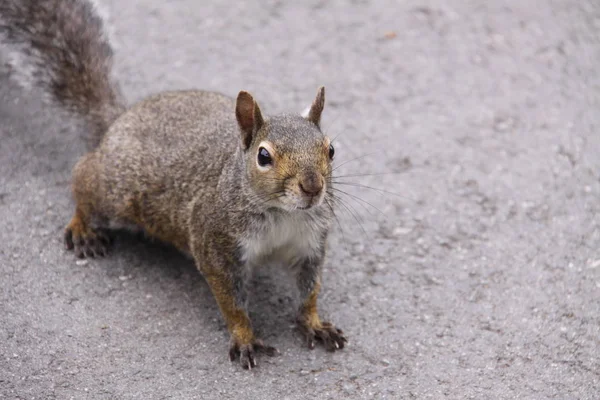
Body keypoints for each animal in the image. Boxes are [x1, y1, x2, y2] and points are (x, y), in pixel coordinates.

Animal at [0, 0, 346, 368]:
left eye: (330, 149)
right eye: (263, 156)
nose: (312, 187)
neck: (284, 214)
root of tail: (119, 120)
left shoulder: (309, 244)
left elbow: (309, 290)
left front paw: (314, 323)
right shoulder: (214, 242)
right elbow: (231, 301)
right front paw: (245, 337)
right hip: (117, 192)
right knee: (82, 178)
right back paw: (83, 227)